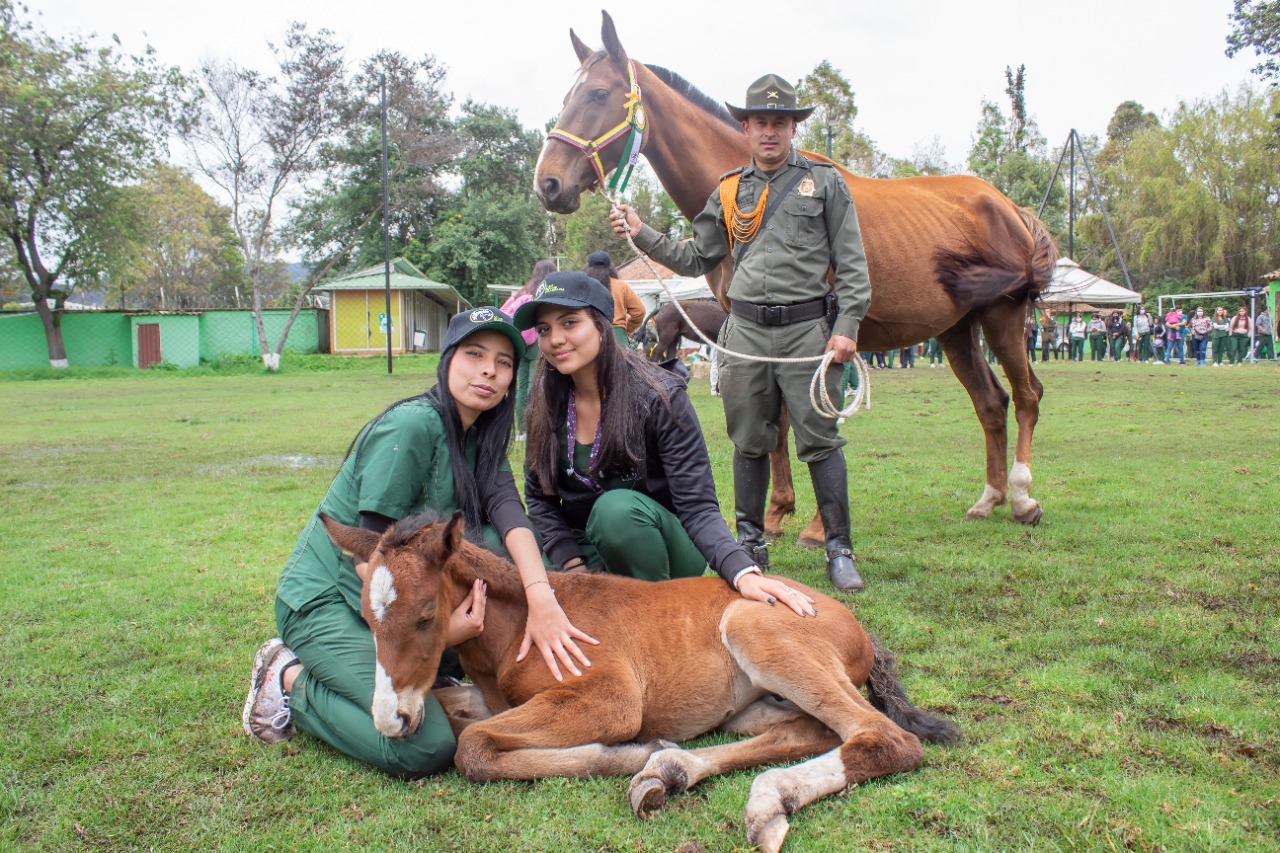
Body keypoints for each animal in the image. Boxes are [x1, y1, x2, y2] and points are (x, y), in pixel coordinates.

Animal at [320, 512, 962, 850]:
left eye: (427, 614)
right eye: (367, 616)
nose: (391, 720)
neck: (523, 625)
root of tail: (860, 629)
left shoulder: (610, 699)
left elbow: (472, 747)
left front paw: (622, 753)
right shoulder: (488, 696)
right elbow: (457, 711)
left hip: (754, 626)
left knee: (886, 738)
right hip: (755, 707)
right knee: (808, 732)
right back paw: (682, 773)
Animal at [535, 11, 1054, 537]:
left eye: (599, 94)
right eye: (567, 97)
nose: (548, 183)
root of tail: (1008, 206)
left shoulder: (827, 336)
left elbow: (817, 421)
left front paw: (820, 526)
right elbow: (776, 424)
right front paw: (776, 511)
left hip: (1003, 317)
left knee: (1027, 395)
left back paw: (1022, 496)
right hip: (957, 330)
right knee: (990, 403)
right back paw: (989, 498)